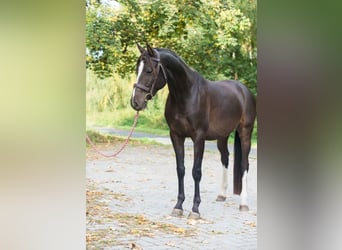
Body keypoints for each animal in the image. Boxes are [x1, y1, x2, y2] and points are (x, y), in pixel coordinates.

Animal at [131, 43, 256, 219]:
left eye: (149, 70)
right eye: (137, 69)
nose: (135, 102)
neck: (186, 94)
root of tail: (244, 90)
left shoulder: (198, 138)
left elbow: (196, 171)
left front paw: (195, 209)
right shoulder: (176, 136)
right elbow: (180, 169)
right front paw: (178, 206)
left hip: (245, 132)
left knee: (245, 164)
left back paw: (244, 203)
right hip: (222, 137)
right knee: (225, 159)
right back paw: (222, 195)